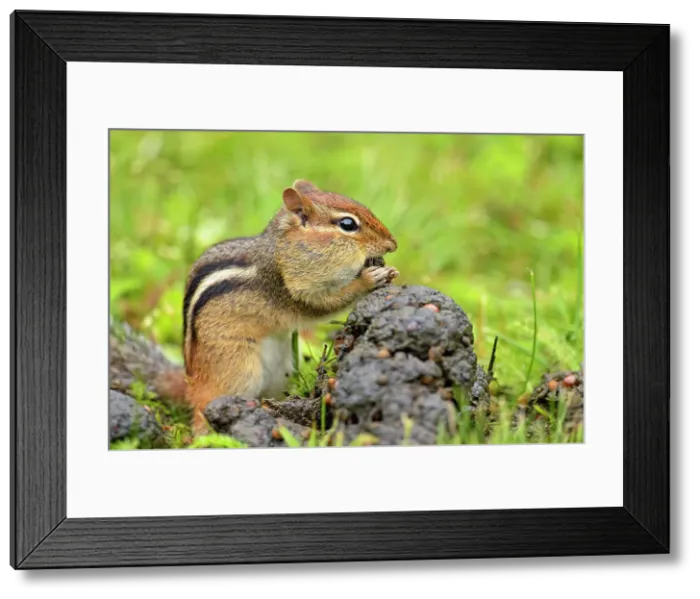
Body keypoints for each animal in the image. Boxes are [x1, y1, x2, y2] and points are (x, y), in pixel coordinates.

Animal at [175, 178, 399, 435]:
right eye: (348, 224)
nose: (392, 244)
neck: (283, 251)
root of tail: (191, 384)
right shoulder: (296, 292)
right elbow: (325, 304)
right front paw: (370, 279)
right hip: (239, 371)